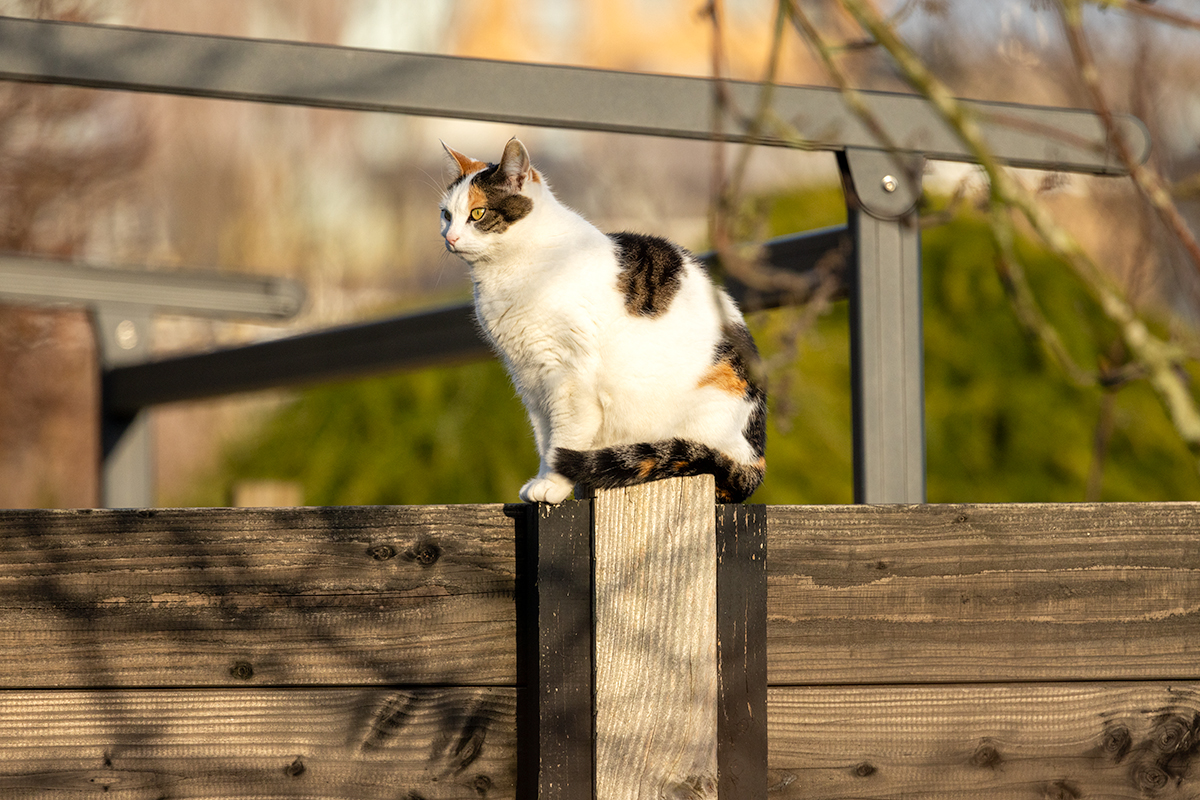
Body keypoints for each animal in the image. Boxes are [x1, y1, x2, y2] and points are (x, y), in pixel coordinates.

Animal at [444, 136, 768, 501]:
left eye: (477, 213)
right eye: (446, 215)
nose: (450, 238)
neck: (504, 273)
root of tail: (755, 458)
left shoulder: (568, 375)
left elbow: (563, 437)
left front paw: (553, 485)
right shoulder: (529, 376)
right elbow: (544, 436)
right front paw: (541, 480)